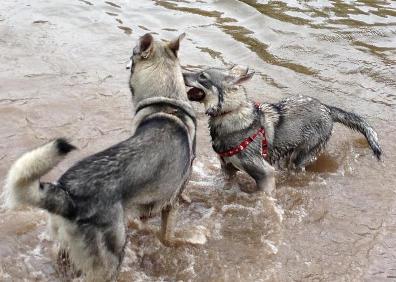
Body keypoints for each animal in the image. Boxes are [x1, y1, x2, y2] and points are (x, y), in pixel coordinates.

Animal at [3, 33, 198, 282]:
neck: (165, 102)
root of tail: (67, 194)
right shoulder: (171, 202)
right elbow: (167, 237)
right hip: (111, 259)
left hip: (66, 252)